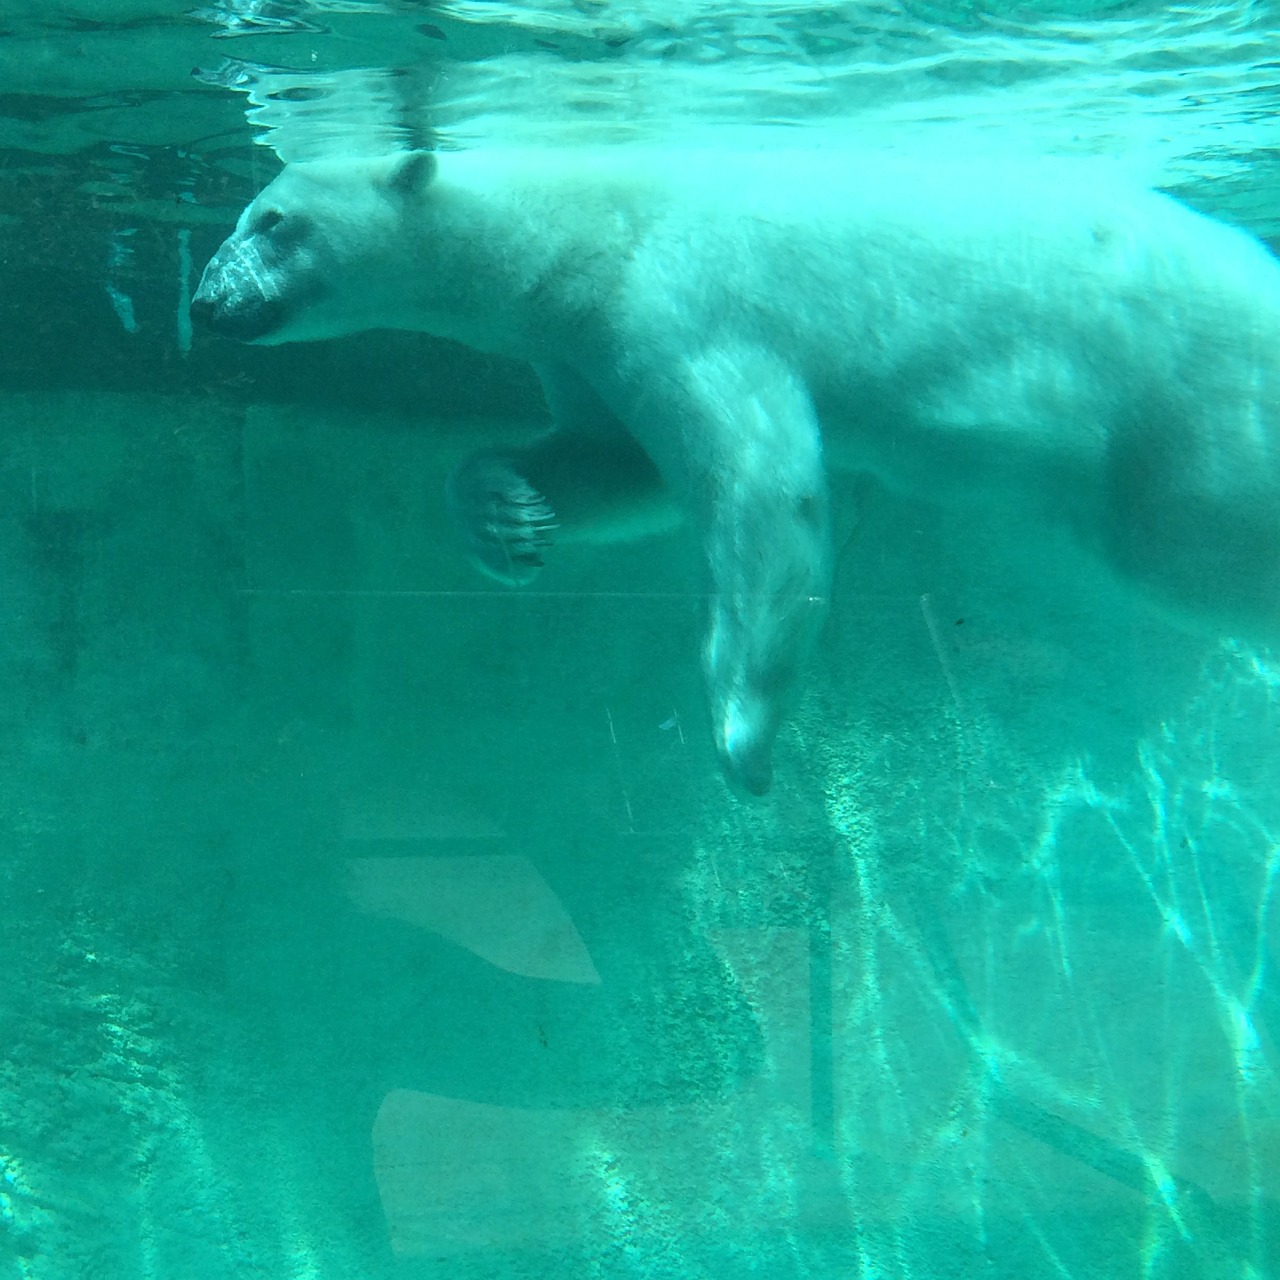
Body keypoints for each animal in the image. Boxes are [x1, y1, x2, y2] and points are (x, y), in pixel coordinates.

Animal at [186, 147, 1280, 788]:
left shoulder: (683, 298)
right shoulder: (581, 340)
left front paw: (739, 732)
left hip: (1176, 416)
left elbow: (758, 483)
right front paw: (507, 514)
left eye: (271, 219)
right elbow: (613, 463)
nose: (203, 299)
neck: (581, 221)